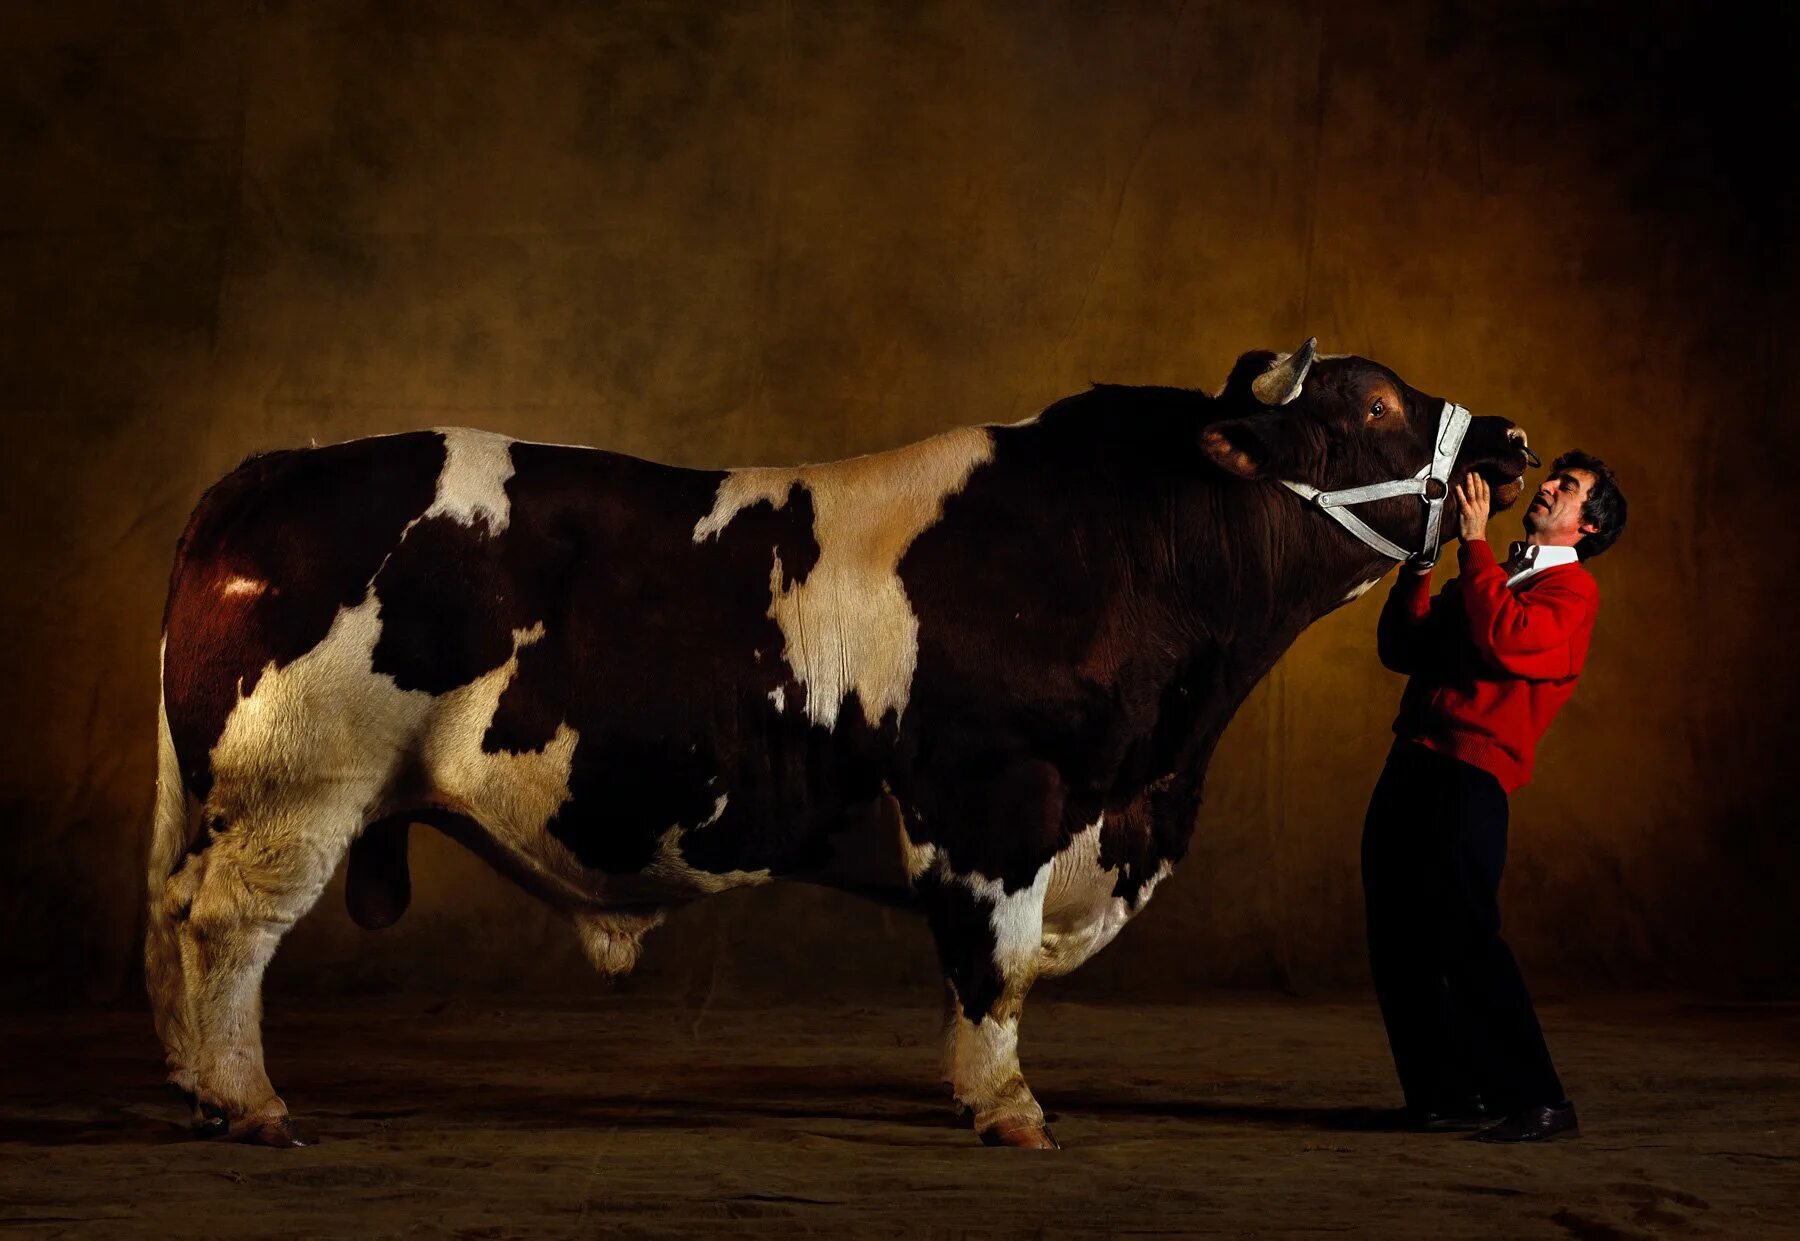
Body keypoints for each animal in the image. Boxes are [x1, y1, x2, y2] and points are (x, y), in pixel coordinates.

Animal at [151, 338, 1533, 1145]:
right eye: (1375, 399)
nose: (1513, 439)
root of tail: (272, 470)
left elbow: (985, 969)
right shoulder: (997, 798)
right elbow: (995, 964)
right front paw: (1008, 1107)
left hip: (232, 792)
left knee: (175, 921)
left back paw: (190, 1083)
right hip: (298, 783)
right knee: (229, 931)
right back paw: (251, 1102)